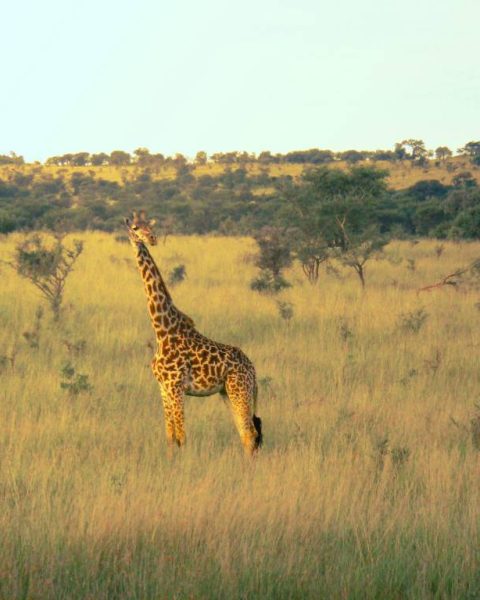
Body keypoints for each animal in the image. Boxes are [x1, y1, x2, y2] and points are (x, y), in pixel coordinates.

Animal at [122, 211, 260, 454]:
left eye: (150, 226)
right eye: (136, 227)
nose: (152, 238)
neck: (162, 330)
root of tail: (253, 369)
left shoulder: (176, 387)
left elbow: (182, 437)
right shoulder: (164, 388)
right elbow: (170, 437)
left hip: (239, 389)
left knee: (250, 433)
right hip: (227, 392)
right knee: (244, 432)